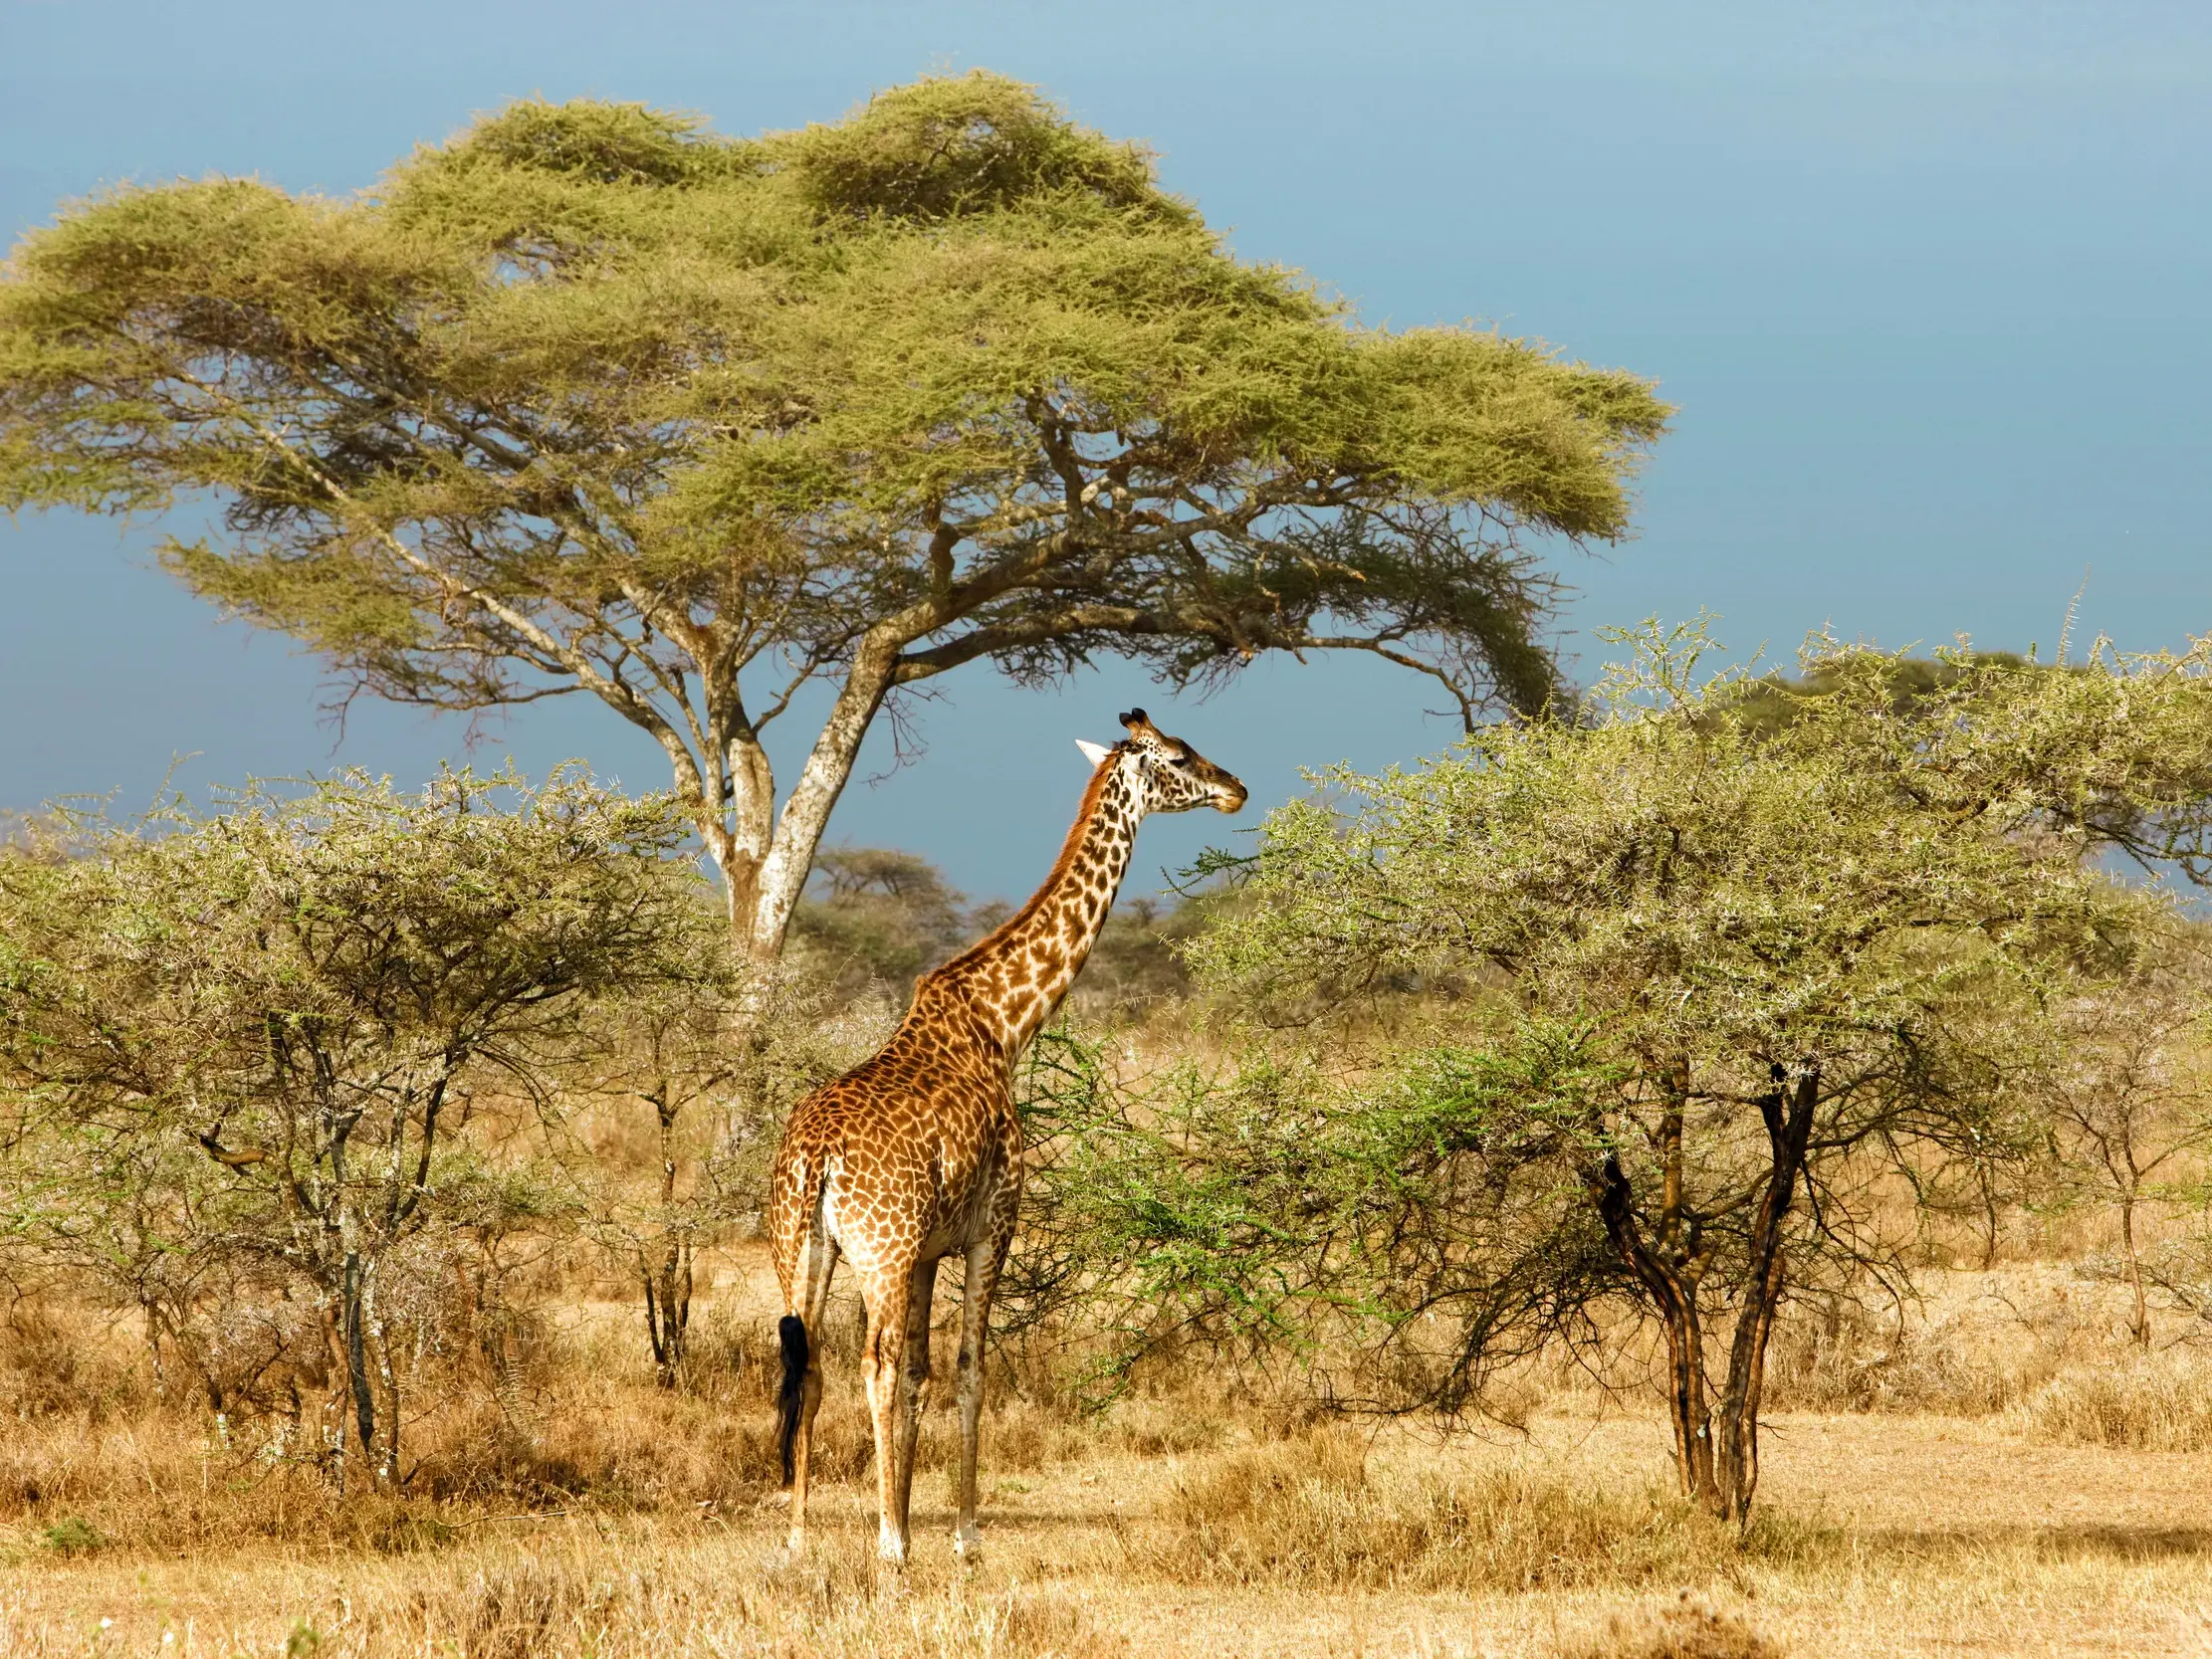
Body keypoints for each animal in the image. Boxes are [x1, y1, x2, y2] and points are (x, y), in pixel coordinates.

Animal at [765, 708, 1247, 1567]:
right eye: (1181, 755)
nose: (1236, 788)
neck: (1003, 1024)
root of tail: (815, 1158)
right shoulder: (995, 1223)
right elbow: (968, 1366)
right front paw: (957, 1533)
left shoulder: (929, 1248)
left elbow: (923, 1371)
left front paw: (910, 1510)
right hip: (878, 1251)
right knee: (871, 1363)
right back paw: (886, 1545)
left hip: (800, 1249)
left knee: (808, 1364)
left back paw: (798, 1539)